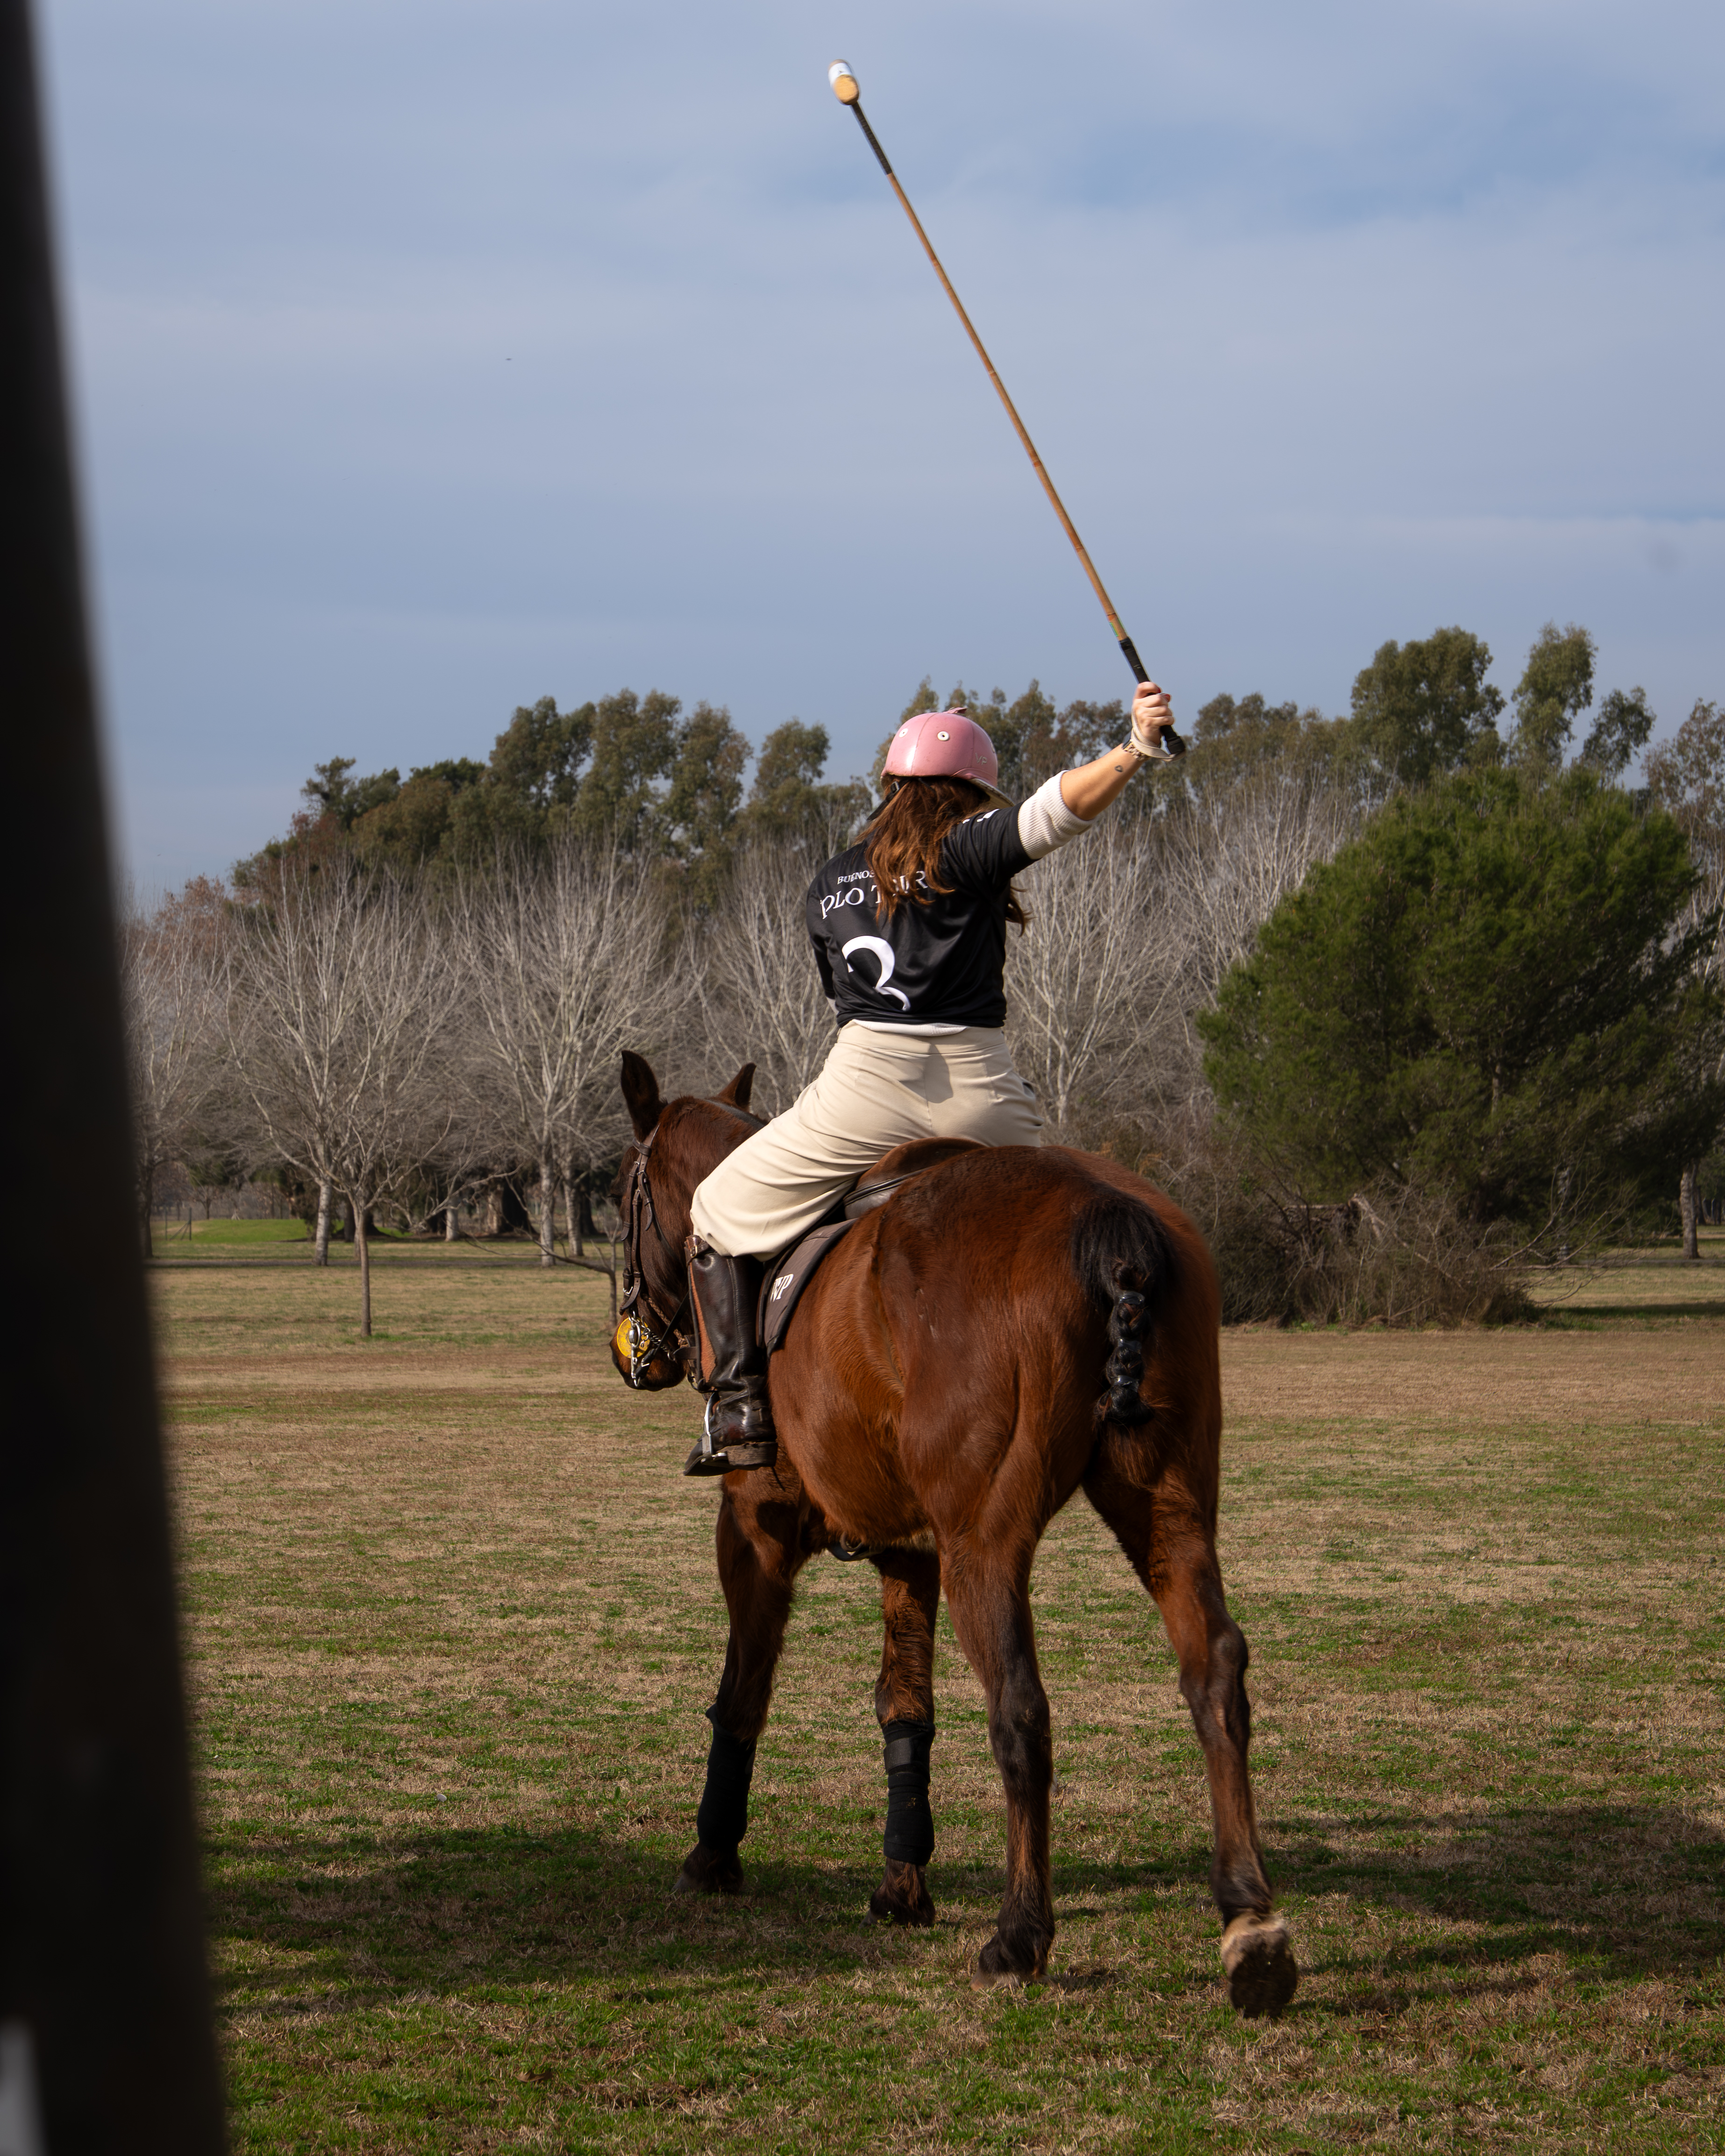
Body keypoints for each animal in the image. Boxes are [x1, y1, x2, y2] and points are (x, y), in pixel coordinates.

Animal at [608, 1049, 1296, 2014]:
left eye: (618, 1195)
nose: (634, 1350)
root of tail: (1112, 1222)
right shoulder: (909, 1549)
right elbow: (905, 1707)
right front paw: (902, 1885)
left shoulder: (754, 1529)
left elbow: (742, 1695)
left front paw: (711, 1856)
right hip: (1167, 1506)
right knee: (1215, 1672)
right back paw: (1250, 1926)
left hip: (987, 1544)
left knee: (1022, 1710)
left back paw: (1019, 1935)